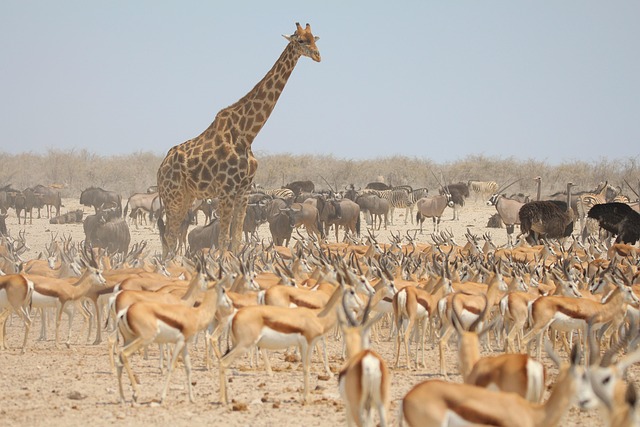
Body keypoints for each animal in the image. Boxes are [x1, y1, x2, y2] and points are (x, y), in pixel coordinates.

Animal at [157, 23, 321, 257]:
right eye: (300, 41)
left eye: (315, 38)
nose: (318, 55)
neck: (246, 134)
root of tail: (160, 170)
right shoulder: (226, 190)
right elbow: (224, 238)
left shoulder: (243, 190)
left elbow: (235, 238)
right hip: (174, 196)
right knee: (170, 236)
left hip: (185, 196)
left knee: (169, 236)